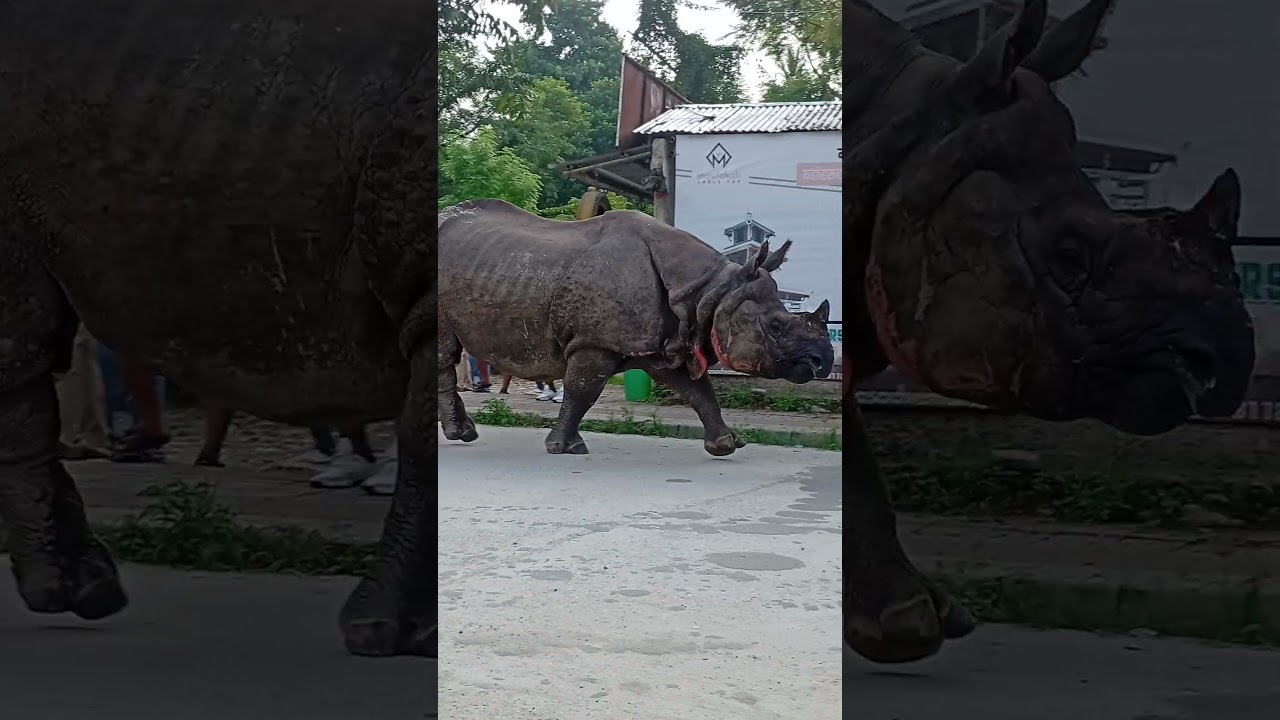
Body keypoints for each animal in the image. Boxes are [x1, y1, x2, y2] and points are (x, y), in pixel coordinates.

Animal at [437, 199, 835, 456]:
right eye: (776, 326)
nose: (823, 361)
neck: (709, 291)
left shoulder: (668, 343)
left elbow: (699, 391)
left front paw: (725, 445)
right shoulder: (594, 342)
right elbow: (582, 391)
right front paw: (565, 447)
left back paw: (464, 434)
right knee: (444, 353)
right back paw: (461, 434)